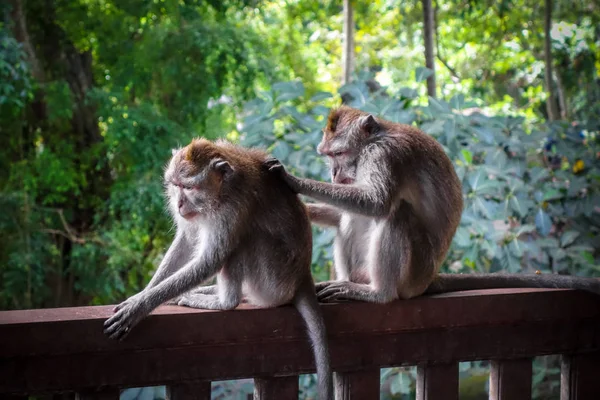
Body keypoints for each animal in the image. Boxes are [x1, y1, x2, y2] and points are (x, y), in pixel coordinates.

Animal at [105, 138, 336, 400]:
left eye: (189, 187)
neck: (221, 190)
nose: (179, 204)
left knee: (244, 241)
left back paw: (224, 301)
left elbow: (212, 259)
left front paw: (139, 307)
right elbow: (187, 239)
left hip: (274, 281)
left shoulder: (232, 209)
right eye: (175, 185)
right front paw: (142, 294)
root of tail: (302, 277)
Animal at [264, 106, 600, 304]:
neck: (376, 138)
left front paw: (292, 180)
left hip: (414, 271)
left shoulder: (383, 155)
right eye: (327, 157)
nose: (333, 174)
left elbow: (376, 203)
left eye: (338, 154)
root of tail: (428, 279)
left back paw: (379, 294)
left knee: (396, 213)